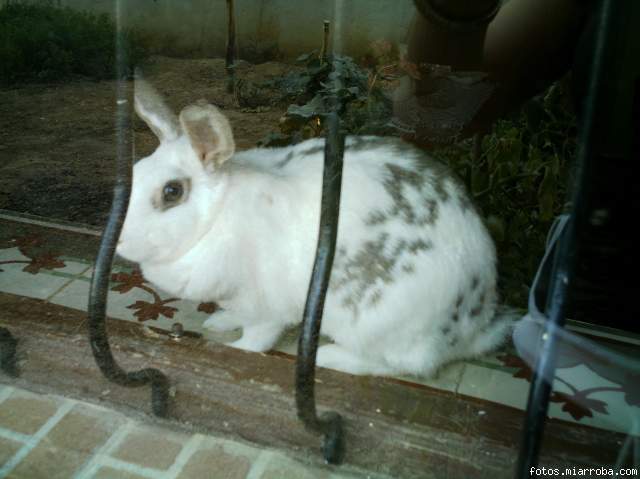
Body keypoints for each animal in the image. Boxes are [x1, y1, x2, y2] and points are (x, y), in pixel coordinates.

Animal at [117, 79, 512, 378]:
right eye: (136, 171)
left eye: (172, 192)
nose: (117, 241)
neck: (216, 218)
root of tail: (472, 328)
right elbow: (235, 316)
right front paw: (219, 322)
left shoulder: (265, 306)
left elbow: (258, 338)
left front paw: (238, 348)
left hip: (379, 324)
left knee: (404, 365)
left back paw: (329, 356)